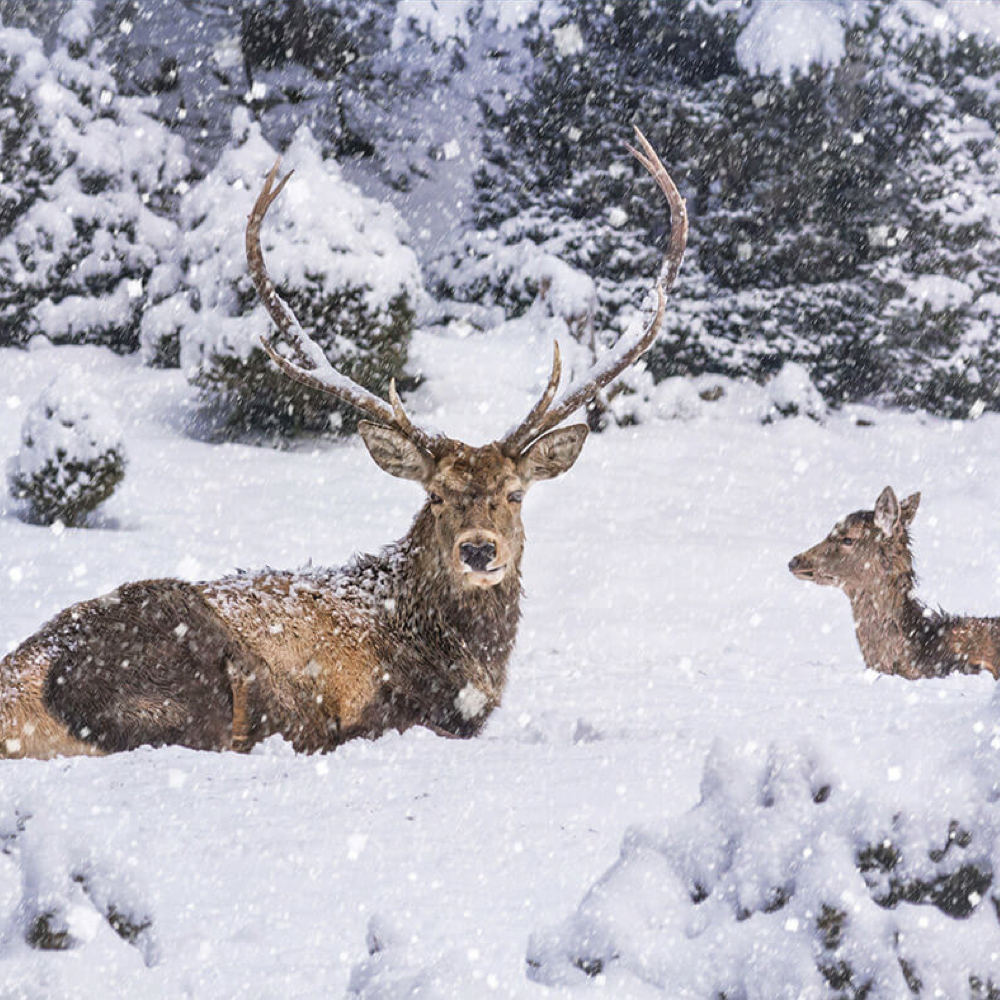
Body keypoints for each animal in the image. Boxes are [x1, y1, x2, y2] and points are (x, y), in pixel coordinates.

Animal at [0, 129, 688, 760]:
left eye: (515, 495)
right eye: (437, 496)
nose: (478, 550)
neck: (460, 662)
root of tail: (25, 693)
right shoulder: (377, 710)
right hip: (186, 668)